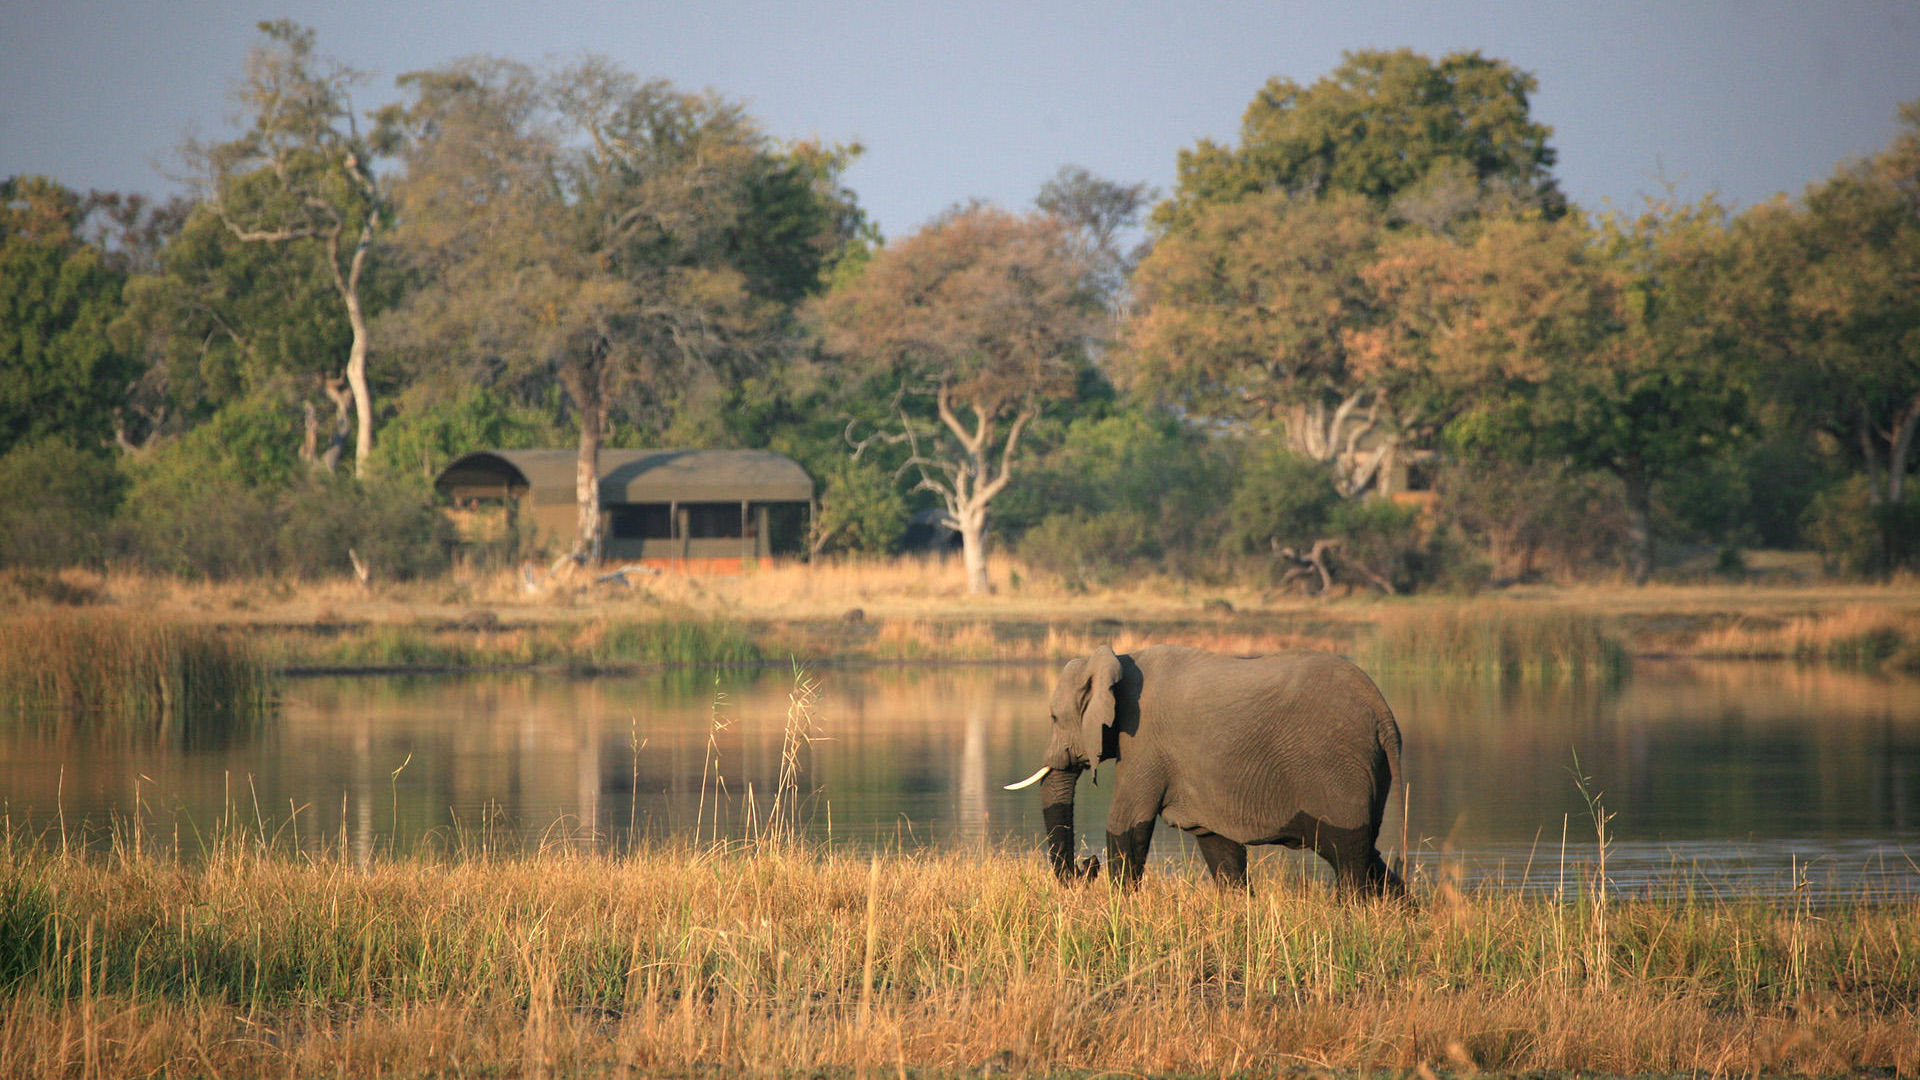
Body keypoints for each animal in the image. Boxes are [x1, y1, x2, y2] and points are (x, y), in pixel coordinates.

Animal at [1013, 641, 1405, 887]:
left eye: (1053, 717)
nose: (1087, 863)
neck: (1121, 659)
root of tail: (1384, 715)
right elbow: (1217, 843)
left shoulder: (1144, 742)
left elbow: (1126, 824)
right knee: (1368, 855)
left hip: (1337, 769)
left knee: (1349, 856)